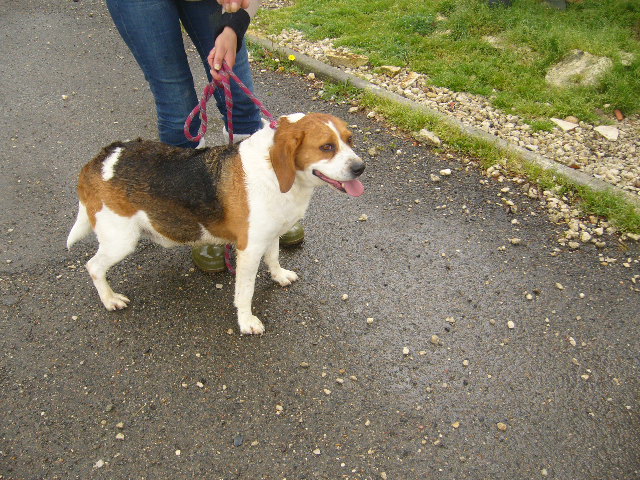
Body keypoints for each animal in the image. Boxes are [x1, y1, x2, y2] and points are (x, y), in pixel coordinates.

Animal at [66, 112, 364, 334]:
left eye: (349, 140)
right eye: (327, 147)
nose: (360, 168)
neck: (273, 169)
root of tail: (100, 159)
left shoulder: (270, 235)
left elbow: (274, 257)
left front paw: (279, 276)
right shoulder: (249, 249)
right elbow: (245, 291)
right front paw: (246, 322)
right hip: (121, 240)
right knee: (93, 267)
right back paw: (110, 299)